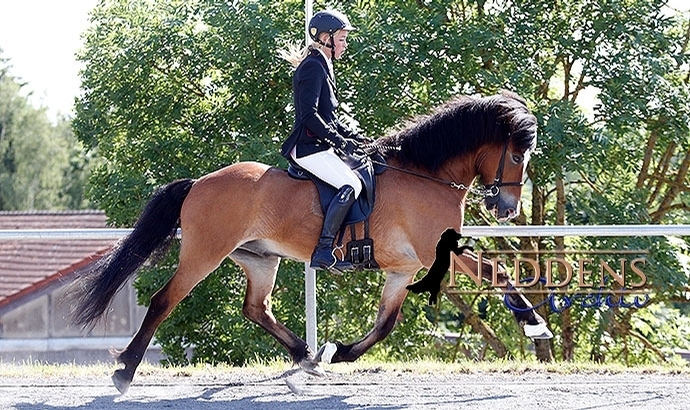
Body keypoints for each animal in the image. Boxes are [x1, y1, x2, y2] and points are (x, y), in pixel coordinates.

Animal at [68, 90, 548, 394]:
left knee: (255, 308)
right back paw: (125, 371)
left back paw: (307, 355)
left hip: (260, 259)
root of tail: (199, 182)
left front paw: (338, 352)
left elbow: (384, 324)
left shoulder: (402, 268)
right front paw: (533, 324)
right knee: (165, 300)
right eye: (516, 154)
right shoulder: (436, 252)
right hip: (204, 254)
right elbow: (497, 272)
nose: (508, 209)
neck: (426, 175)